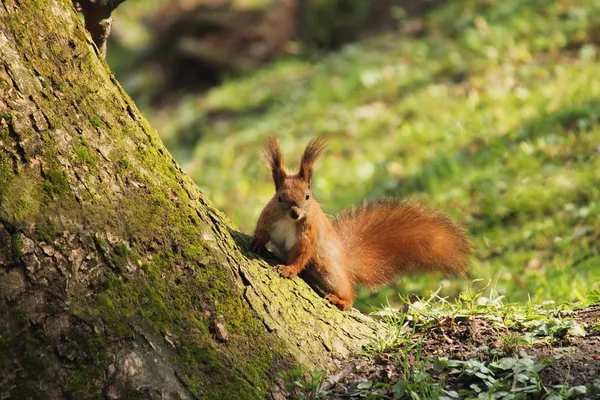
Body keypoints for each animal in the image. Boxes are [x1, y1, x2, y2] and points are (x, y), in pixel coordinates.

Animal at [250, 137, 474, 310]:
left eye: (307, 196)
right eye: (279, 198)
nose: (295, 214)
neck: (287, 220)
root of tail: (345, 263)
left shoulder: (310, 231)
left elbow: (302, 253)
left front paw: (289, 270)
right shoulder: (268, 216)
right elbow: (262, 231)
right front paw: (257, 242)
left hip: (326, 268)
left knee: (347, 291)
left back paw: (342, 301)